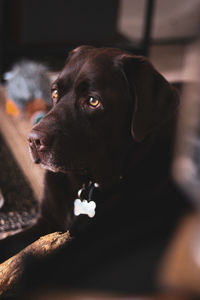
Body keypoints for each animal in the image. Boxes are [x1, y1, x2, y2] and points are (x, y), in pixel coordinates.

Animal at [0, 46, 191, 292]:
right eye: (55, 92)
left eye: (92, 101)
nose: (32, 140)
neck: (87, 183)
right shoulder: (46, 221)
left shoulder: (98, 238)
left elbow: (34, 266)